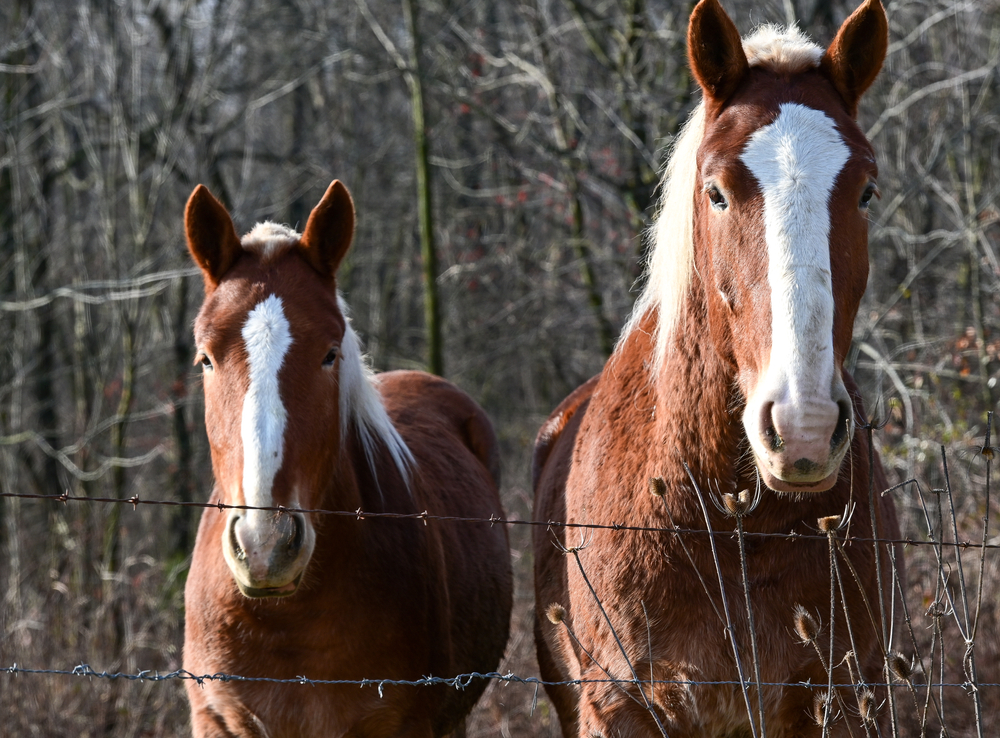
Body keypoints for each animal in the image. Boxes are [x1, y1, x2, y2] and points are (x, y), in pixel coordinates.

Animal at [536, 1, 904, 736]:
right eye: (717, 193)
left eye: (867, 191)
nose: (803, 427)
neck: (725, 518)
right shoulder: (617, 705)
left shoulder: (847, 698)